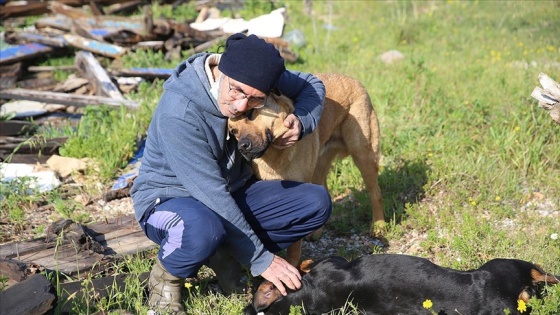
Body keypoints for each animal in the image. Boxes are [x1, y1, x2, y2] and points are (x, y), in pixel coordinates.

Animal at [229, 74, 384, 266]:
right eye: (233, 131)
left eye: (250, 113)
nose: (242, 147)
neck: (275, 154)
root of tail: (352, 79)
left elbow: (294, 246)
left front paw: (292, 264)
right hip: (319, 167)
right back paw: (317, 233)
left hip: (363, 155)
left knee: (375, 192)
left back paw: (379, 226)